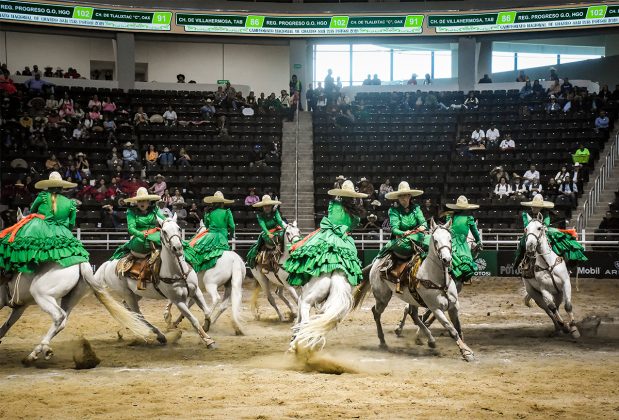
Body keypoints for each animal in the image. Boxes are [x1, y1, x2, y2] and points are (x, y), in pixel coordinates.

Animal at [0, 210, 151, 364]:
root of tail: (80, 263)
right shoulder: (19, 306)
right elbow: (6, 325)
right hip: (71, 297)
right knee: (62, 321)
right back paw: (35, 353)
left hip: (41, 294)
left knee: (59, 316)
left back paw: (43, 350)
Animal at [93, 215, 217, 350]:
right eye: (164, 231)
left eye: (179, 228)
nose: (177, 248)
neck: (179, 273)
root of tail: (108, 264)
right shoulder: (178, 301)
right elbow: (193, 320)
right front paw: (208, 341)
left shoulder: (196, 291)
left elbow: (207, 312)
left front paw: (206, 327)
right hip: (127, 293)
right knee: (138, 313)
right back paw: (160, 336)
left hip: (136, 294)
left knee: (129, 308)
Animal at [354, 220, 474, 360]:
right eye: (435, 240)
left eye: (450, 239)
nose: (447, 260)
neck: (439, 281)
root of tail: (376, 263)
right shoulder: (435, 308)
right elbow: (452, 329)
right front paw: (466, 352)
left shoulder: (454, 306)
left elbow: (458, 329)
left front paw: (465, 350)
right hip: (383, 297)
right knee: (376, 312)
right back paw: (383, 341)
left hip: (412, 298)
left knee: (414, 315)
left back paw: (430, 340)